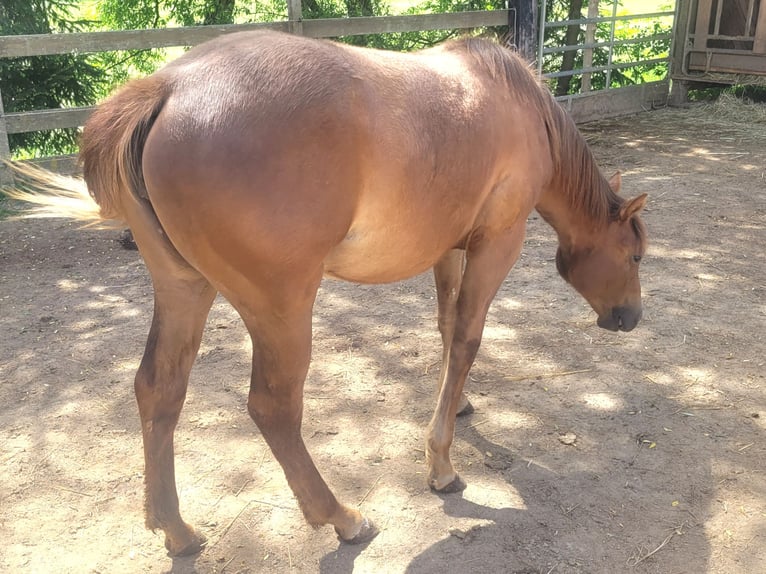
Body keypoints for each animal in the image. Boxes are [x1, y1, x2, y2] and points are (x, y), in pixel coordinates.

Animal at [6, 30, 648, 555]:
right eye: (636, 255)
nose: (630, 318)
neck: (516, 104)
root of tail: (165, 89)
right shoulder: (496, 243)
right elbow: (466, 337)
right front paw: (440, 462)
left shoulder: (448, 247)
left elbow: (446, 328)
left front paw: (459, 405)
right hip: (282, 308)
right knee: (273, 408)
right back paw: (340, 517)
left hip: (184, 290)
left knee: (158, 391)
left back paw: (177, 530)